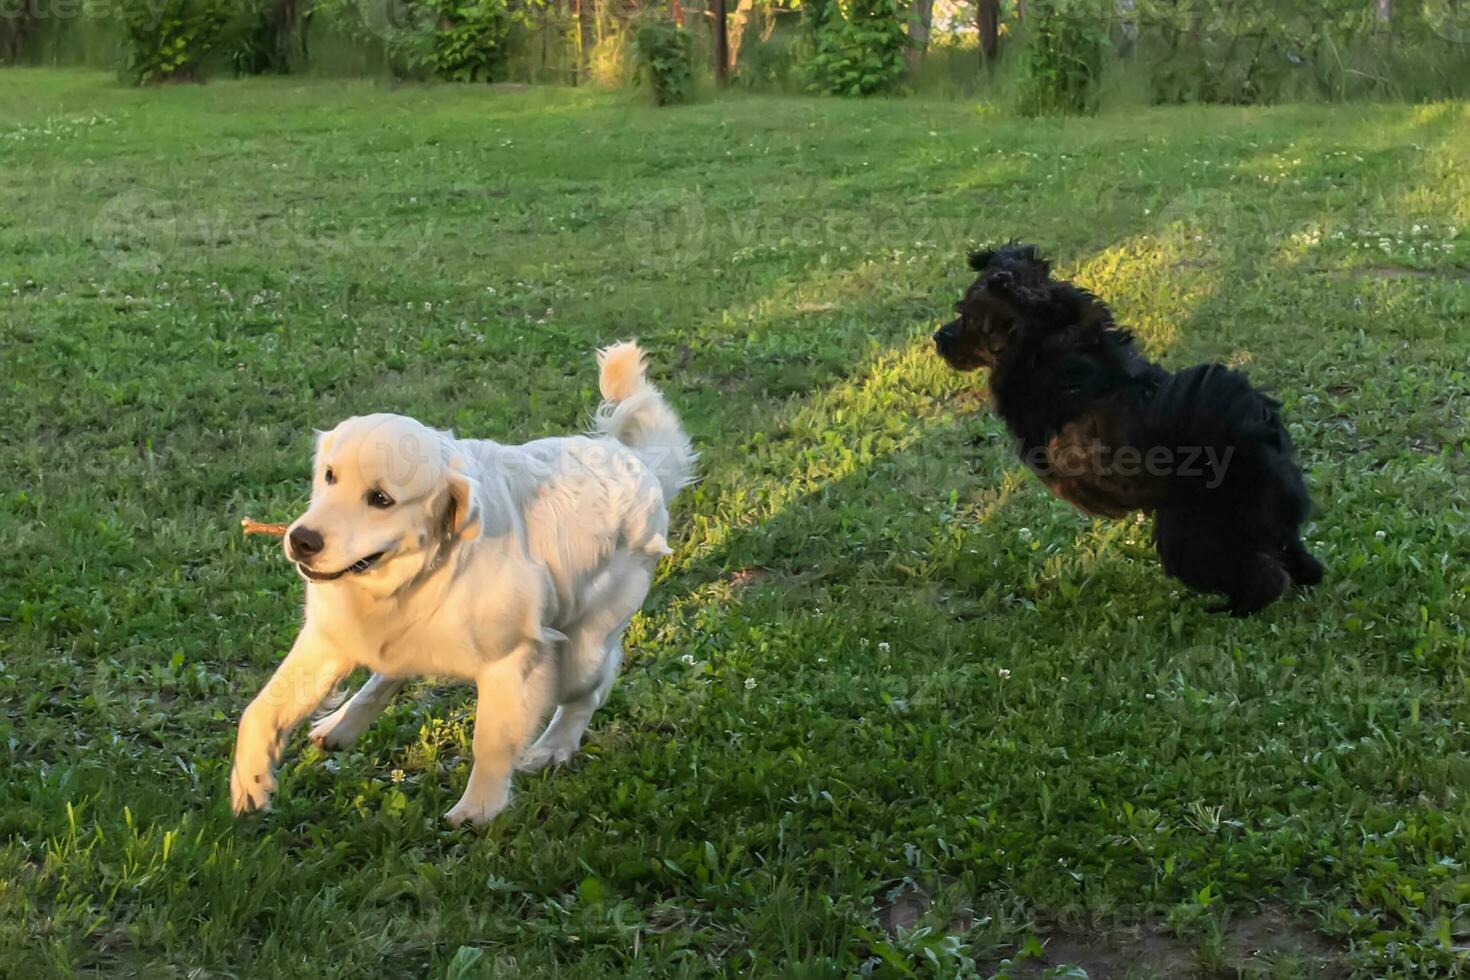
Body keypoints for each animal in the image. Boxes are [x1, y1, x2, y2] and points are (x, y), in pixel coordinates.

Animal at [227, 340, 693, 822]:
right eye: (329, 475)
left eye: (381, 499)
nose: (302, 540)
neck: (415, 576)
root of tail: (639, 463)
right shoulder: (330, 635)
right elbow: (262, 708)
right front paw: (251, 781)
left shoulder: (514, 659)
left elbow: (490, 741)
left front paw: (479, 809)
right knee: (388, 673)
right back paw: (341, 725)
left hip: (582, 650)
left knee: (588, 691)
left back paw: (553, 748)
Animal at [934, 245, 1328, 614]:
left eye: (966, 316)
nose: (938, 337)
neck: (1051, 344)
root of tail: (1256, 432)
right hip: (1268, 523)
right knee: (1300, 561)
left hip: (1190, 534)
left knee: (1263, 578)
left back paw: (1231, 609)